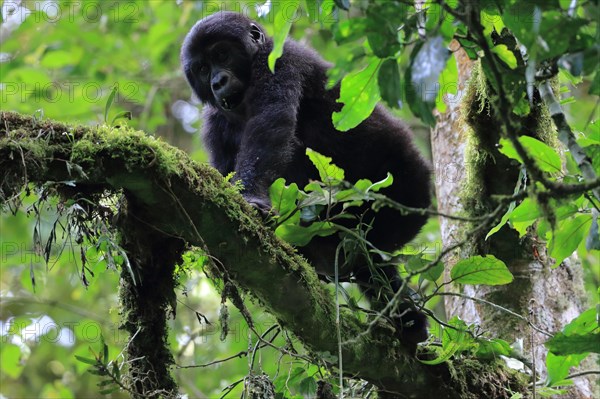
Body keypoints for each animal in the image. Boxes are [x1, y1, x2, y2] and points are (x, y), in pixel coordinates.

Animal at [182, 10, 432, 350]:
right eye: (202, 68)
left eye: (221, 54)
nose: (217, 81)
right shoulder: (214, 123)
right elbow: (223, 171)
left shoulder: (279, 60)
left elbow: (270, 125)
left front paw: (251, 200)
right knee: (366, 264)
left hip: (405, 190)